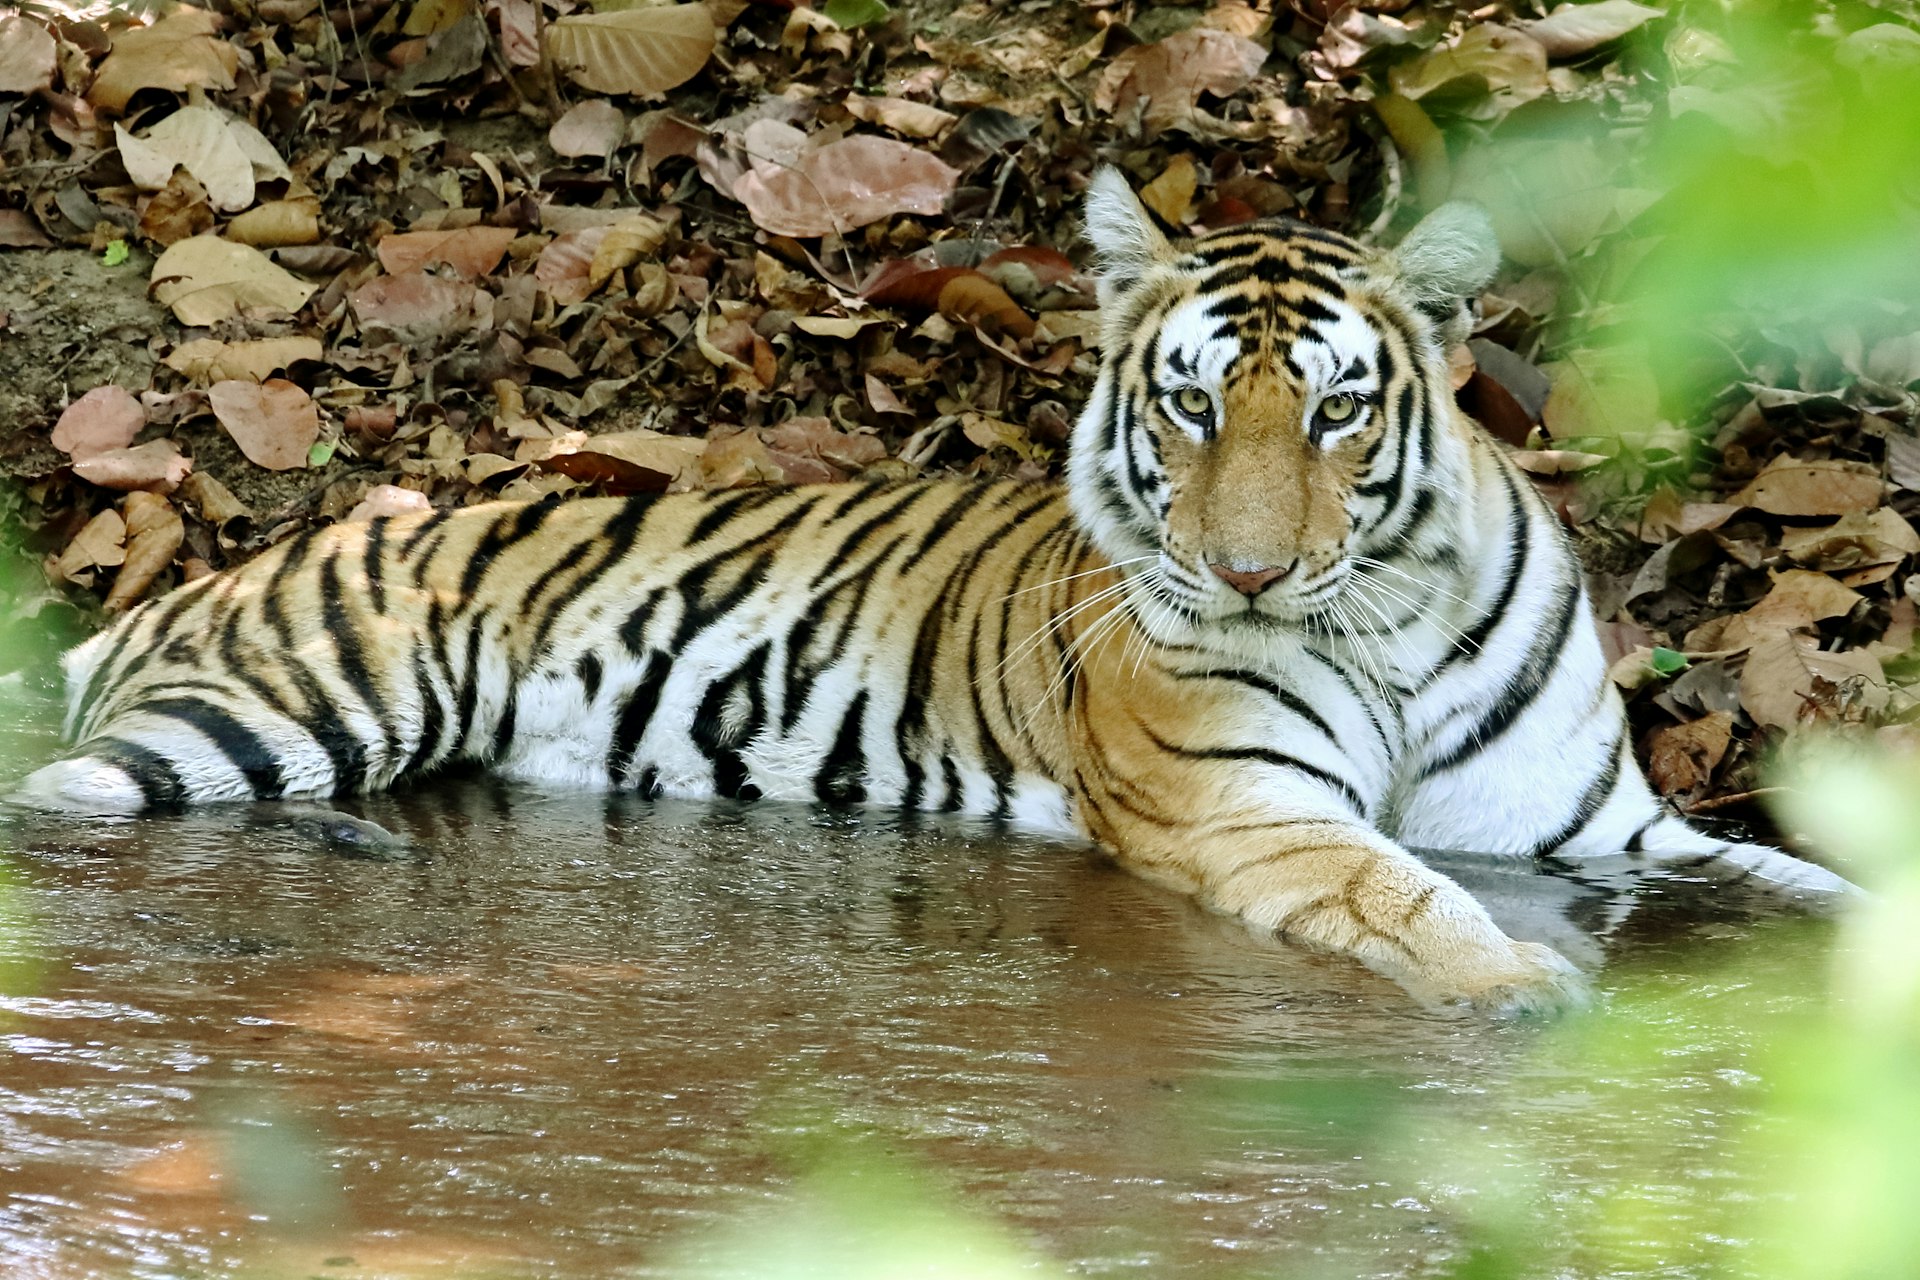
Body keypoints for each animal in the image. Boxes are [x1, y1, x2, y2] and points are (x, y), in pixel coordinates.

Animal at [8, 169, 1856, 1015]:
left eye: (1337, 409)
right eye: (1194, 405)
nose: (1249, 568)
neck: (1384, 617)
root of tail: (203, 579)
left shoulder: (1605, 831)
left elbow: (1817, 881)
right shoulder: (1253, 808)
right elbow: (1405, 893)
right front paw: (1516, 988)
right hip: (287, 704)